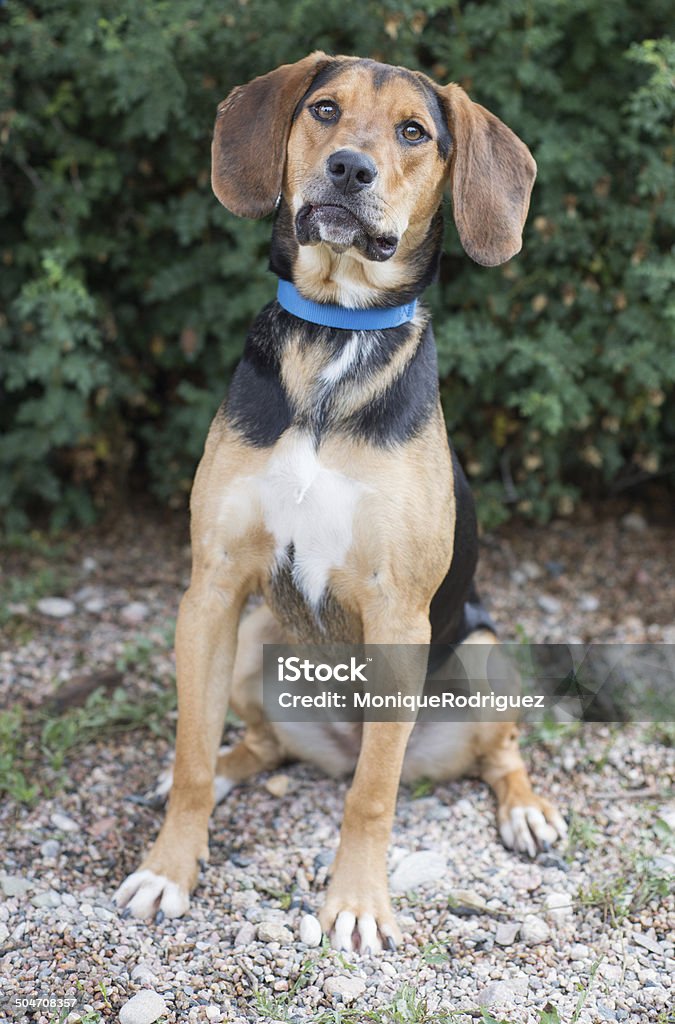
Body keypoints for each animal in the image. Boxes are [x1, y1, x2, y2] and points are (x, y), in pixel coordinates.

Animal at [113, 54, 569, 950]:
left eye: (413, 132)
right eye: (323, 109)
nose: (348, 170)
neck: (334, 336)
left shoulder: (399, 614)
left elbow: (372, 795)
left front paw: (356, 903)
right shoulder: (211, 588)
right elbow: (190, 753)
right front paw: (168, 869)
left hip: (485, 650)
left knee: (492, 756)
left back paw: (526, 813)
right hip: (254, 639)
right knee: (254, 746)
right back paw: (230, 771)